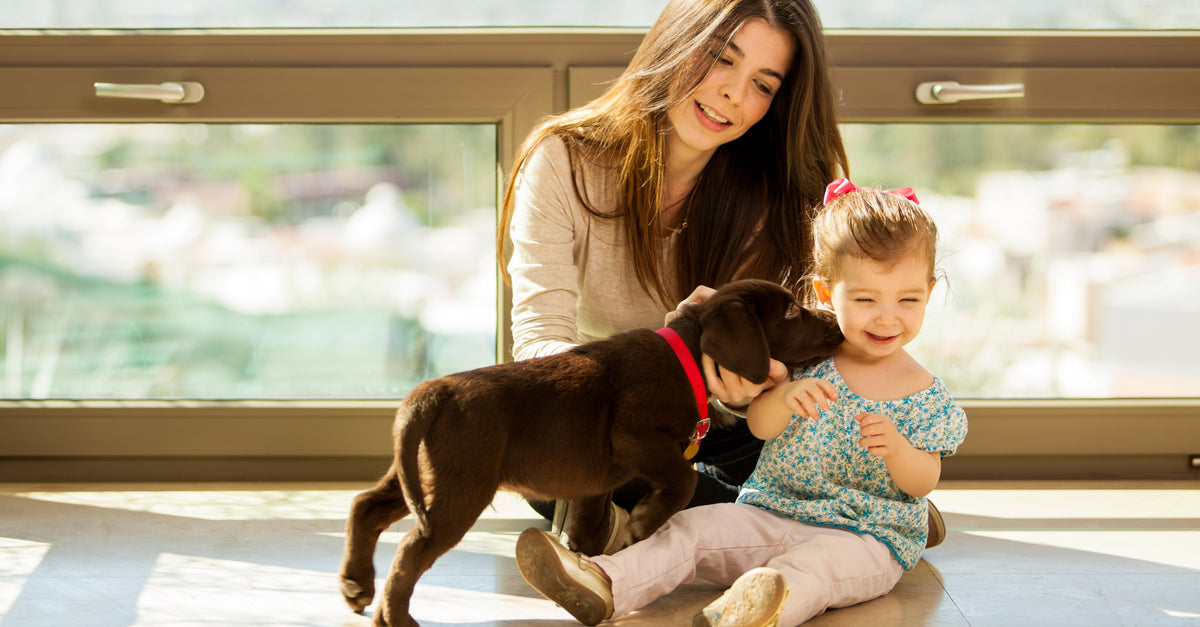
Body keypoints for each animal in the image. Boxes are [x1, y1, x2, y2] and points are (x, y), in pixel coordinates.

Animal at [338, 279, 844, 624]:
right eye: (792, 312)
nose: (837, 325)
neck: (688, 362)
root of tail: (434, 391)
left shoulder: (596, 483)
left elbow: (589, 525)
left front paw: (584, 559)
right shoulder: (634, 435)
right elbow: (680, 480)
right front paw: (644, 521)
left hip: (422, 475)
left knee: (365, 506)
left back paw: (356, 584)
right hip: (461, 485)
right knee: (410, 546)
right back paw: (394, 616)